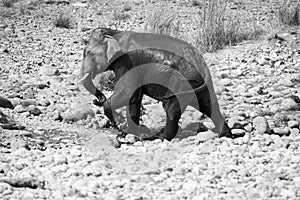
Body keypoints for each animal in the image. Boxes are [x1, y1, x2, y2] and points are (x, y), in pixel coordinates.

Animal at [79, 27, 232, 141]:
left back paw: (162, 138)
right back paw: (226, 135)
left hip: (180, 82)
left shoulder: (126, 62)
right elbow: (134, 99)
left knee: (171, 110)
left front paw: (118, 126)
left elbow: (129, 93)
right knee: (210, 106)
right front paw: (129, 133)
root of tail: (201, 61)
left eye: (89, 53)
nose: (96, 100)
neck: (113, 33)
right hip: (196, 83)